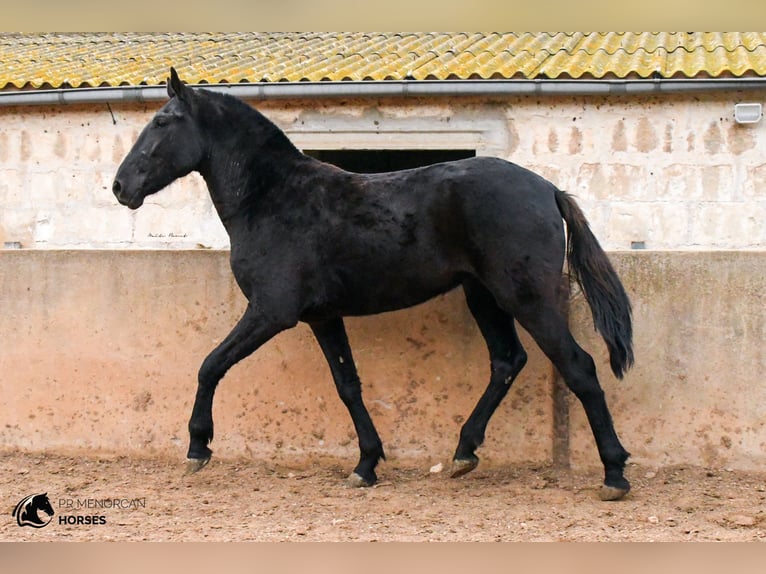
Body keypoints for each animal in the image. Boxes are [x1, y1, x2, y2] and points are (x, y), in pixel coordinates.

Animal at [111, 66, 632, 500]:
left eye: (163, 122)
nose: (120, 187)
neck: (272, 198)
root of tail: (549, 190)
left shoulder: (270, 312)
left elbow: (210, 365)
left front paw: (197, 448)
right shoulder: (322, 317)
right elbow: (348, 385)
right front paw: (366, 465)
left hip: (527, 299)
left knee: (578, 367)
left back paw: (614, 474)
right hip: (483, 295)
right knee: (507, 361)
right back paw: (464, 452)